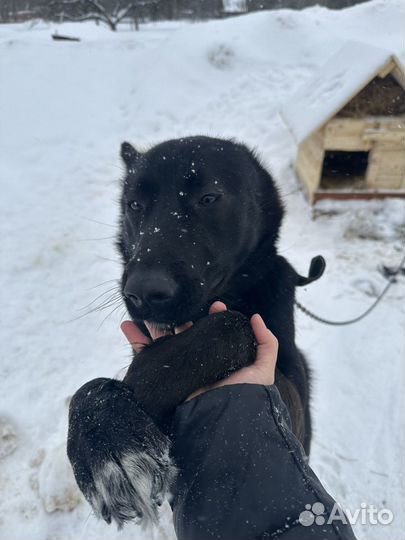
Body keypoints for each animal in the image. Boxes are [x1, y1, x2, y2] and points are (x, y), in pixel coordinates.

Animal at [68, 138, 324, 528]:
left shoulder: (290, 399)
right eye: (134, 205)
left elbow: (232, 324)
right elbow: (88, 390)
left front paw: (131, 395)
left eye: (208, 197)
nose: (143, 292)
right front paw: (104, 431)